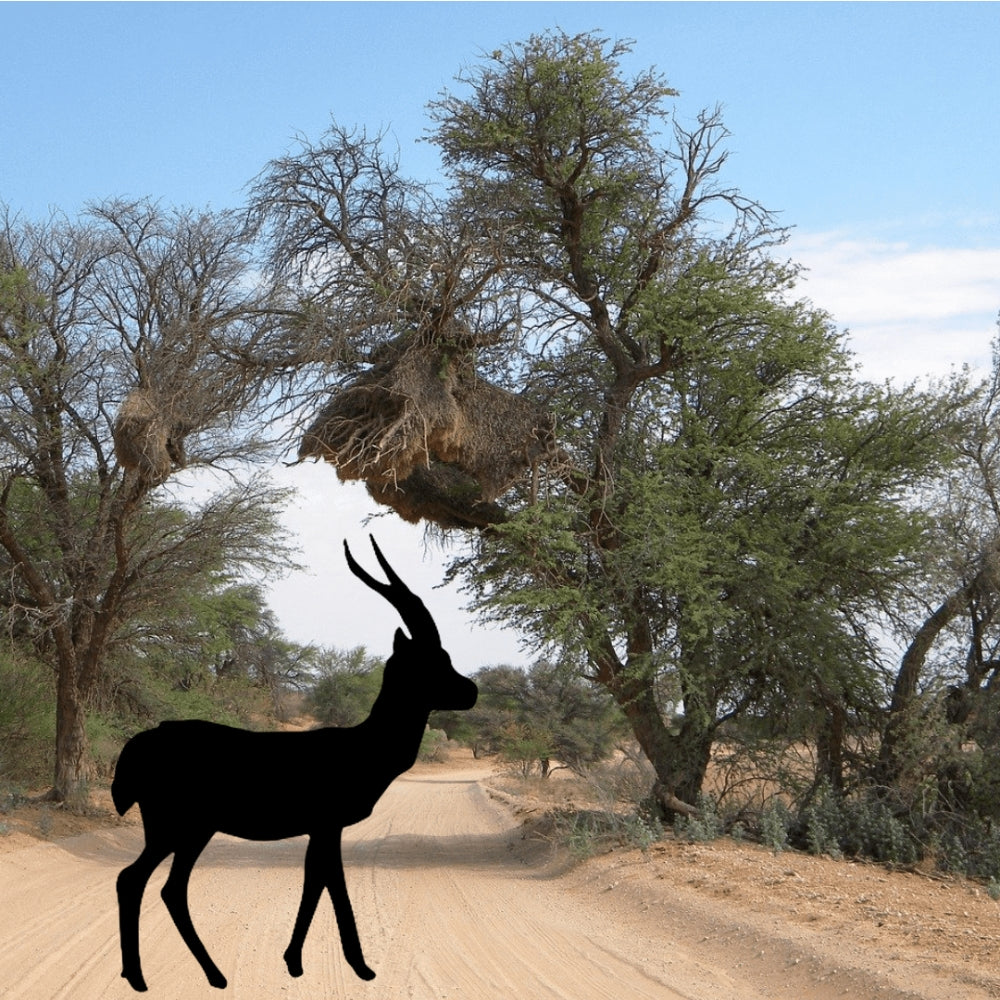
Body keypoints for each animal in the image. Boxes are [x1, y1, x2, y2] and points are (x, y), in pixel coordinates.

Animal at [111, 536, 478, 992]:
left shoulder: (320, 830)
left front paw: (294, 961)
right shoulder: (328, 825)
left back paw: (209, 975)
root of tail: (142, 743)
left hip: (189, 830)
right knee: (137, 881)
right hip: (177, 827)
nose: (472, 691)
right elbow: (333, 886)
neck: (362, 747)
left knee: (166, 888)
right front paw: (361, 968)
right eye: (434, 660)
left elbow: (314, 884)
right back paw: (145, 978)